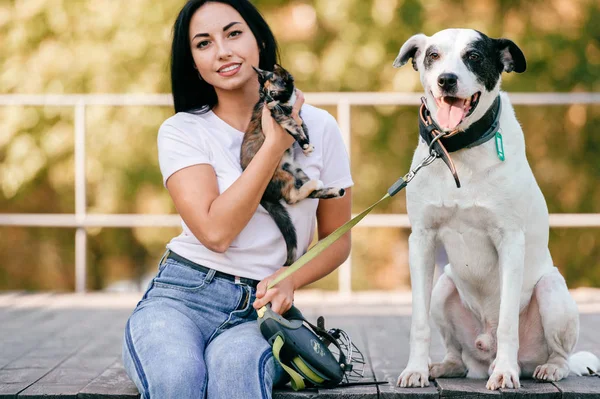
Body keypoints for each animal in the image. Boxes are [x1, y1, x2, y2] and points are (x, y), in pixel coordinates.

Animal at [392, 28, 596, 390]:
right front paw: (415, 369)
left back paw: (547, 368)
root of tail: (482, 357)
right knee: (458, 354)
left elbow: (507, 322)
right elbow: (418, 321)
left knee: (560, 354)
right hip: (444, 286)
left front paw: (505, 372)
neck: (457, 150)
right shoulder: (422, 240)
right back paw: (443, 366)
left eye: (474, 56)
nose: (446, 80)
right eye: (433, 55)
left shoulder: (510, 241)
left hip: (551, 290)